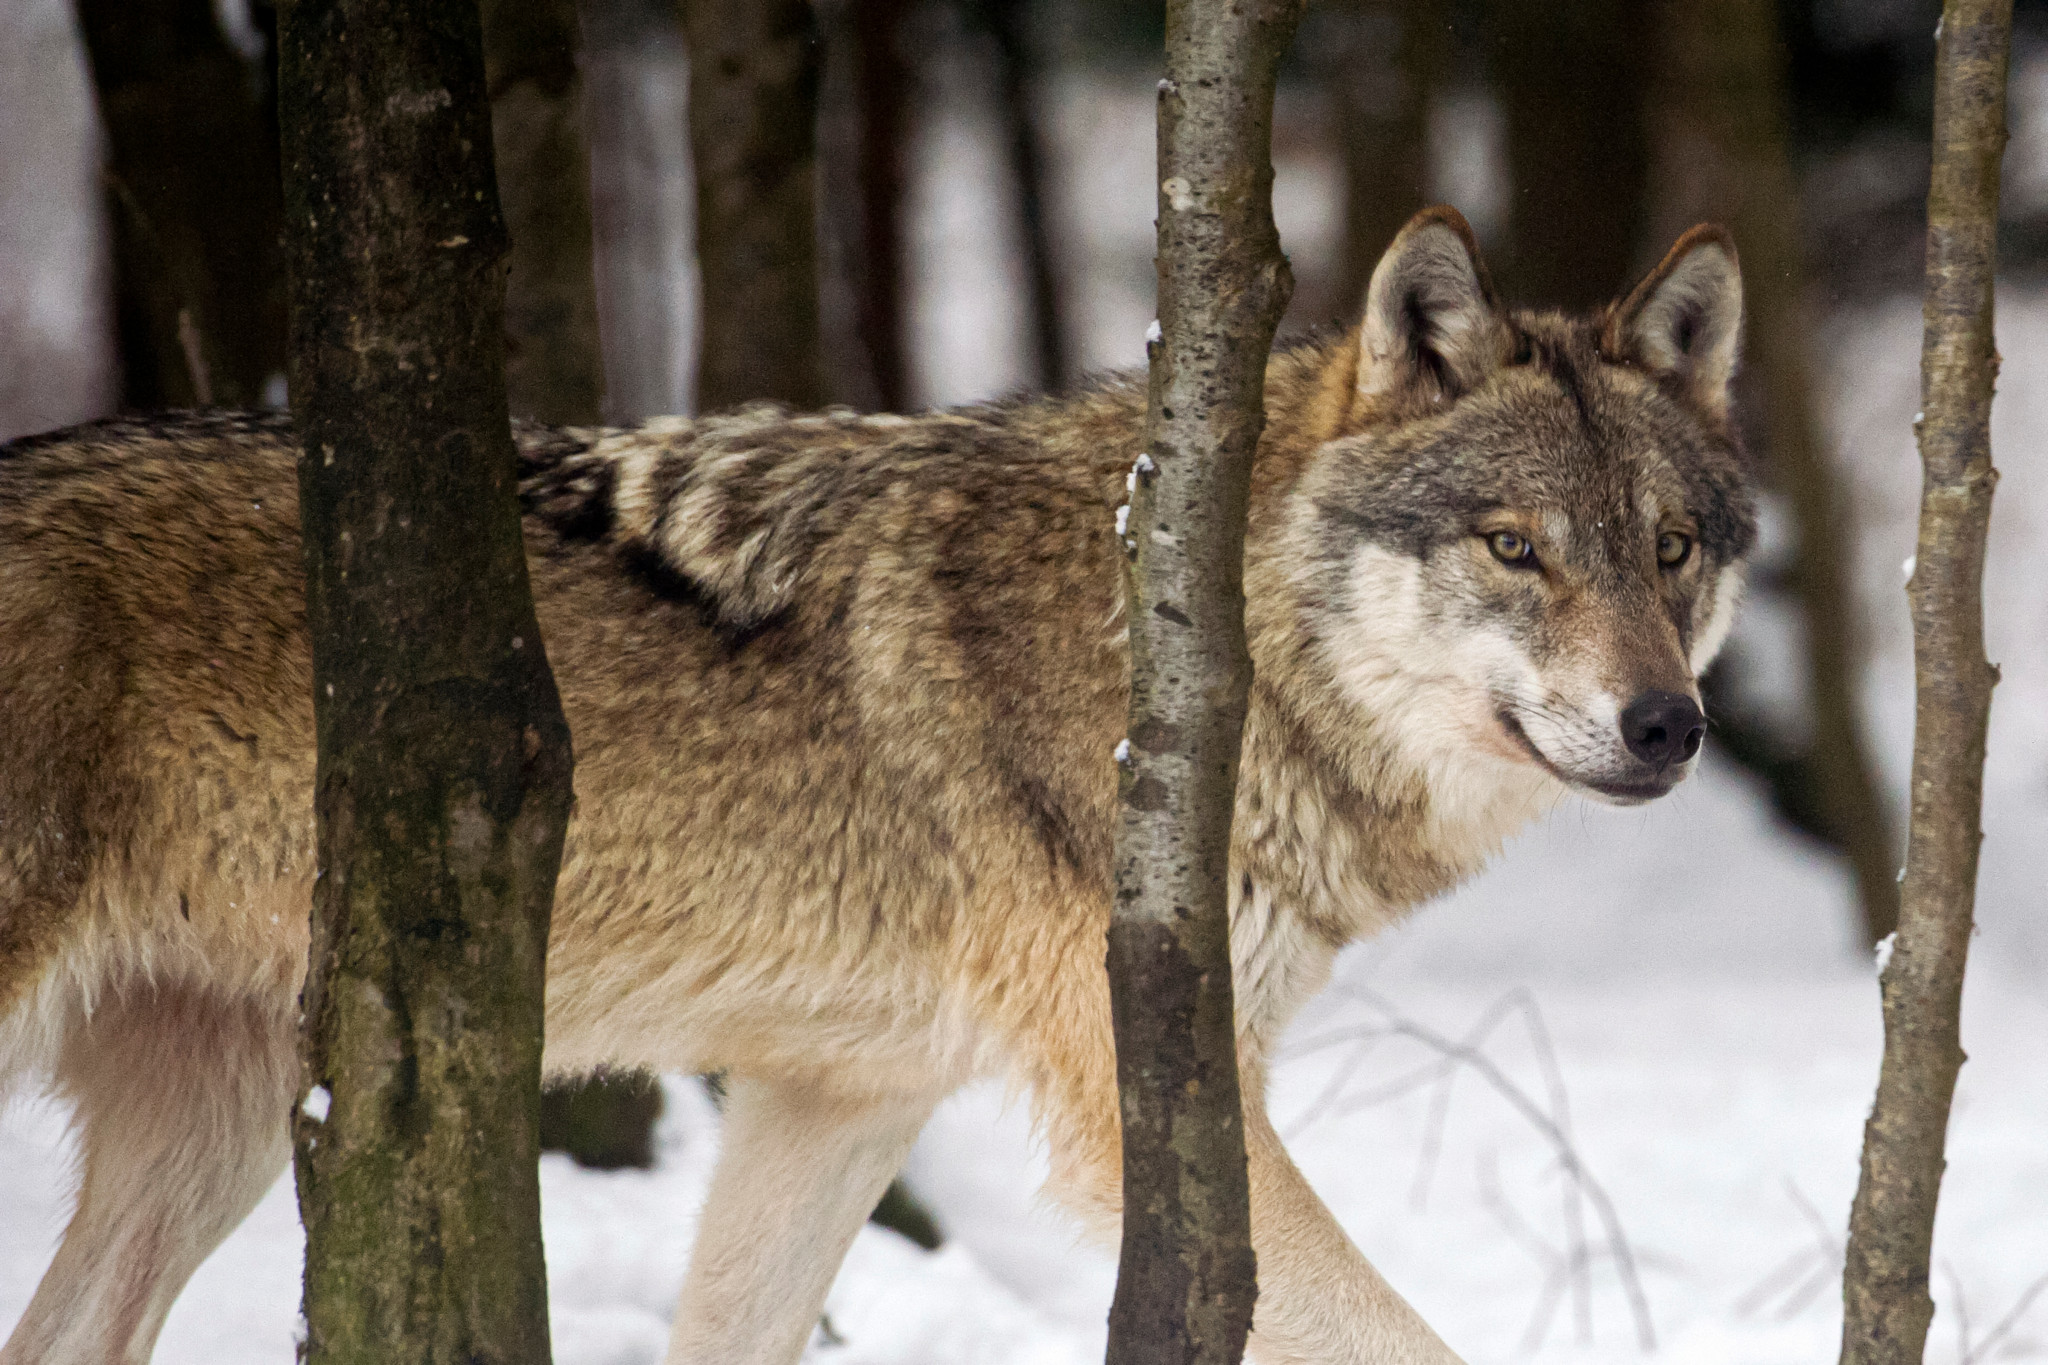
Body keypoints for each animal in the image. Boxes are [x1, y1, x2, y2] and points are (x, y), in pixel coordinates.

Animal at [0, 207, 1752, 1365]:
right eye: (1515, 548)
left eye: (1670, 547)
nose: (1669, 725)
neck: (1191, 652)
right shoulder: (1145, 1102)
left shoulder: (839, 1101)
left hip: (216, 1134)